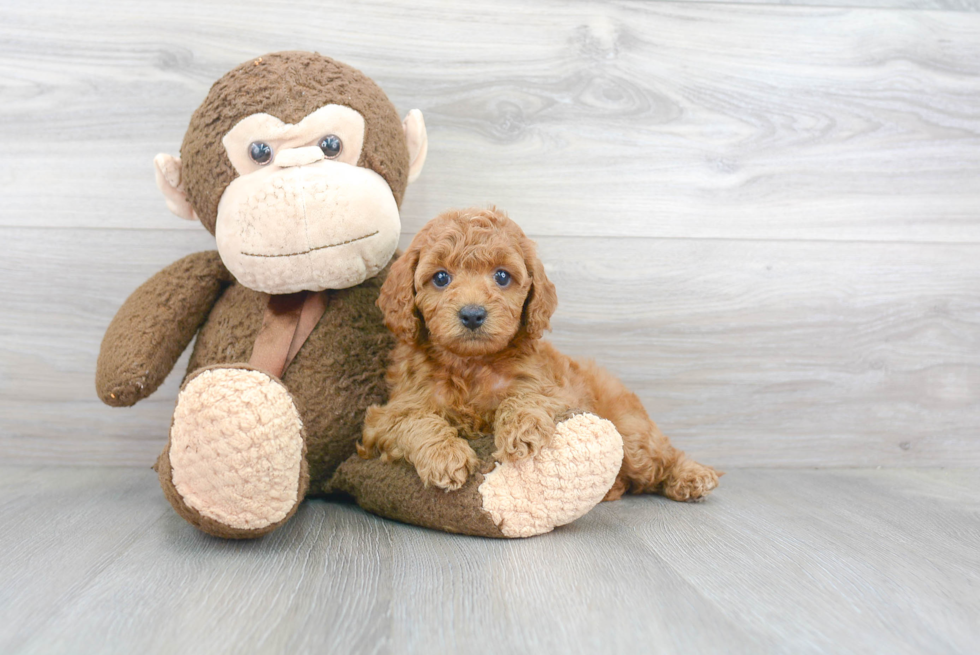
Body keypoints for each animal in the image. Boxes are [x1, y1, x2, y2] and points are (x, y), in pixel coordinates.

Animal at [360, 208, 720, 504]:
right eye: (440, 278)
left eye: (502, 276)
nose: (473, 314)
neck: (471, 364)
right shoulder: (386, 417)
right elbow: (417, 421)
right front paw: (444, 456)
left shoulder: (557, 391)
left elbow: (524, 397)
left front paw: (522, 430)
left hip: (632, 434)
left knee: (660, 457)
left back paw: (692, 476)